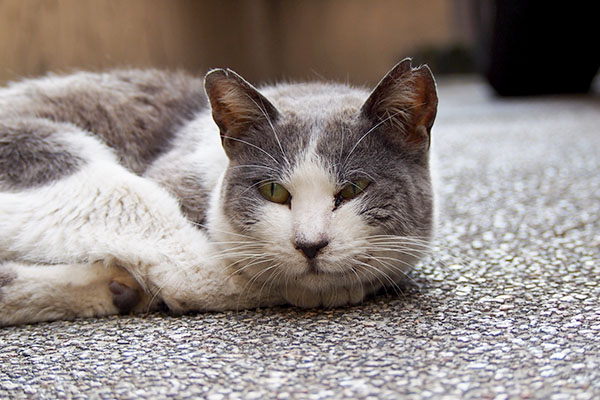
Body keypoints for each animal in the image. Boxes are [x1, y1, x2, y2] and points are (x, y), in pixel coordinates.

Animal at [2, 60, 438, 328]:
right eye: (273, 191)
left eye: (352, 189)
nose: (310, 244)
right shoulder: (176, 173)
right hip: (52, 155)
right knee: (188, 273)